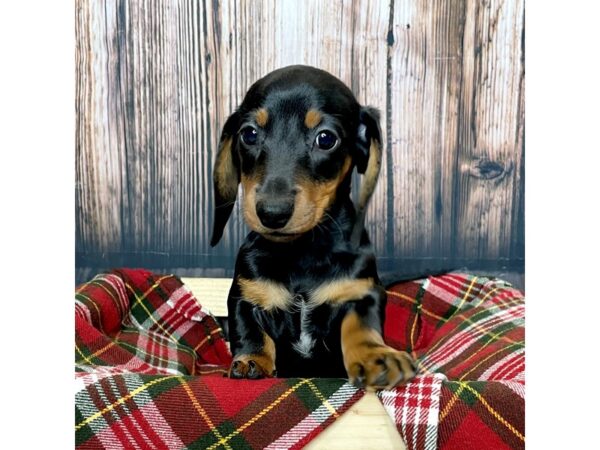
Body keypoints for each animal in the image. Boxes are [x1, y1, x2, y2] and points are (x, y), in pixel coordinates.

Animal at [212, 64, 418, 390]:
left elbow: (360, 325)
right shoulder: (246, 294)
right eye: (249, 134)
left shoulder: (362, 293)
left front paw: (376, 355)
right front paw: (251, 360)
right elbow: (249, 330)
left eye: (326, 139)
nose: (272, 213)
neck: (302, 250)